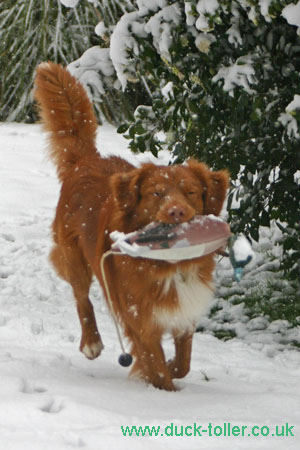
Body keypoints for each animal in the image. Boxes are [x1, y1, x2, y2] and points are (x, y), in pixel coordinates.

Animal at [34, 63, 229, 390]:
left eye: (190, 192)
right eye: (156, 194)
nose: (176, 211)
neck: (170, 265)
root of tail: (86, 160)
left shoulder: (183, 311)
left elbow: (183, 361)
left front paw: (174, 365)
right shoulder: (140, 319)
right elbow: (159, 370)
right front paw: (163, 390)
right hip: (74, 258)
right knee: (81, 297)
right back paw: (91, 342)